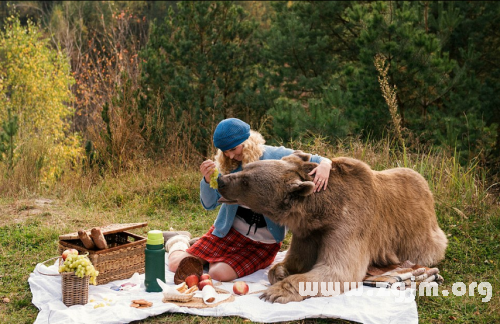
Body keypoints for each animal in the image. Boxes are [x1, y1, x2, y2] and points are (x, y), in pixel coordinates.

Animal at [217, 152, 448, 304]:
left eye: (246, 181)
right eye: (245, 169)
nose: (221, 180)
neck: (321, 213)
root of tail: (427, 187)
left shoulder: (349, 224)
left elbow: (338, 270)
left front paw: (277, 291)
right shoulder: (307, 232)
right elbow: (296, 259)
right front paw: (281, 272)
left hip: (423, 237)